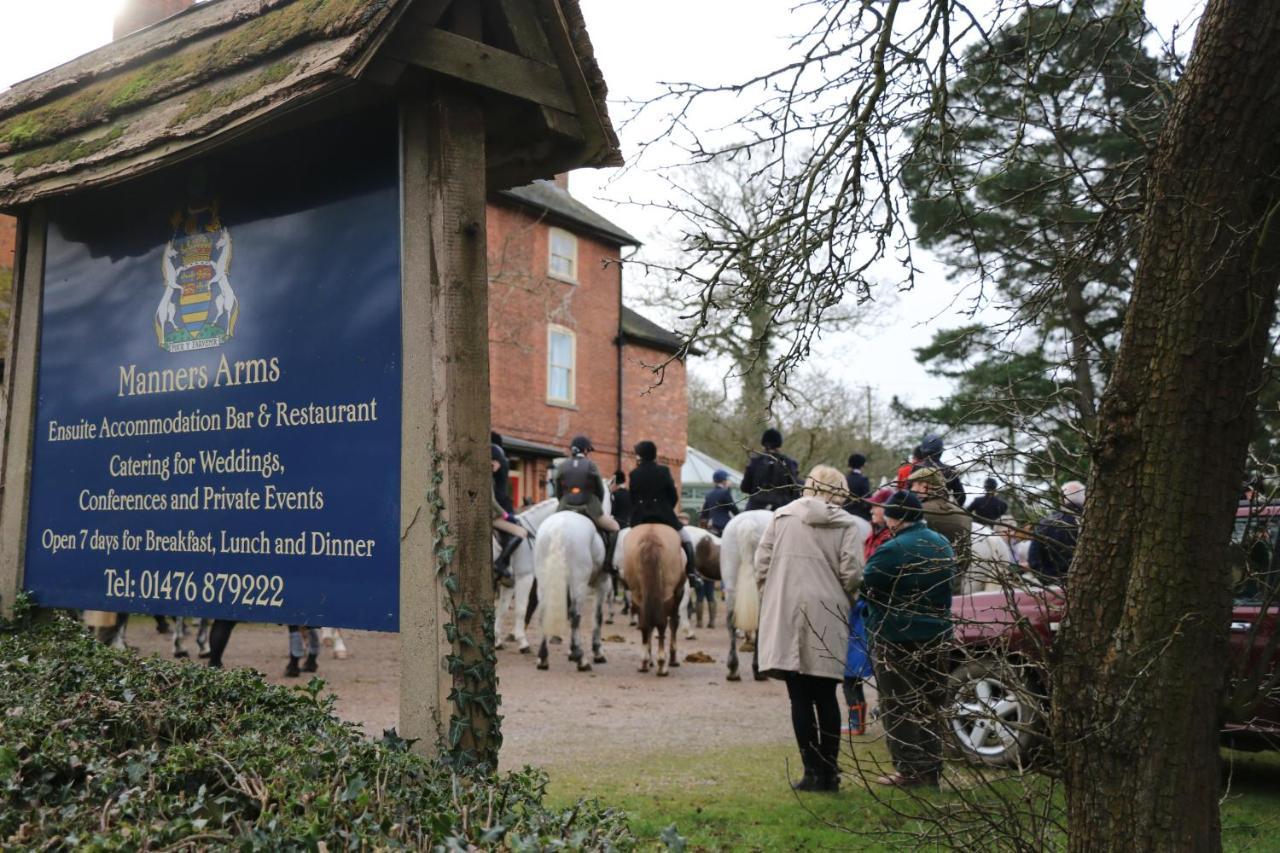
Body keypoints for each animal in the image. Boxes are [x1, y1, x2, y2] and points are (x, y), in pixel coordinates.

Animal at [491, 491, 558, 650]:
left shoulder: (509, 582)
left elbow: (502, 609)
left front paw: (497, 640)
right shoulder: (525, 577)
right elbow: (521, 609)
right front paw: (522, 641)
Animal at [622, 522, 691, 676]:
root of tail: (650, 537)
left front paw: (650, 658)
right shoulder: (678, 592)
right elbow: (674, 622)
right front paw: (672, 658)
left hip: (638, 593)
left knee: (645, 623)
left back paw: (644, 662)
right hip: (667, 593)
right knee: (662, 624)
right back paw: (661, 664)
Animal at [716, 507, 773, 681]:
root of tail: (748, 522)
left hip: (731, 585)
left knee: (731, 621)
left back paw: (733, 669)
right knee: (760, 623)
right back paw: (757, 669)